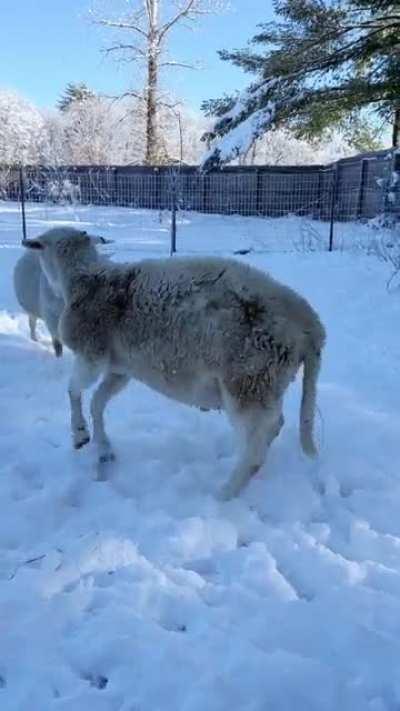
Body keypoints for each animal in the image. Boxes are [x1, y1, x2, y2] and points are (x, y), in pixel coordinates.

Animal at [22, 228, 326, 500]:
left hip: (249, 378)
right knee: (273, 427)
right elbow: (98, 401)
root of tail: (311, 326)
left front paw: (80, 435)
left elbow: (74, 389)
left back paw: (225, 493)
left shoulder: (91, 353)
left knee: (257, 443)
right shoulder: (120, 368)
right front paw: (103, 446)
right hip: (267, 381)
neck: (85, 279)